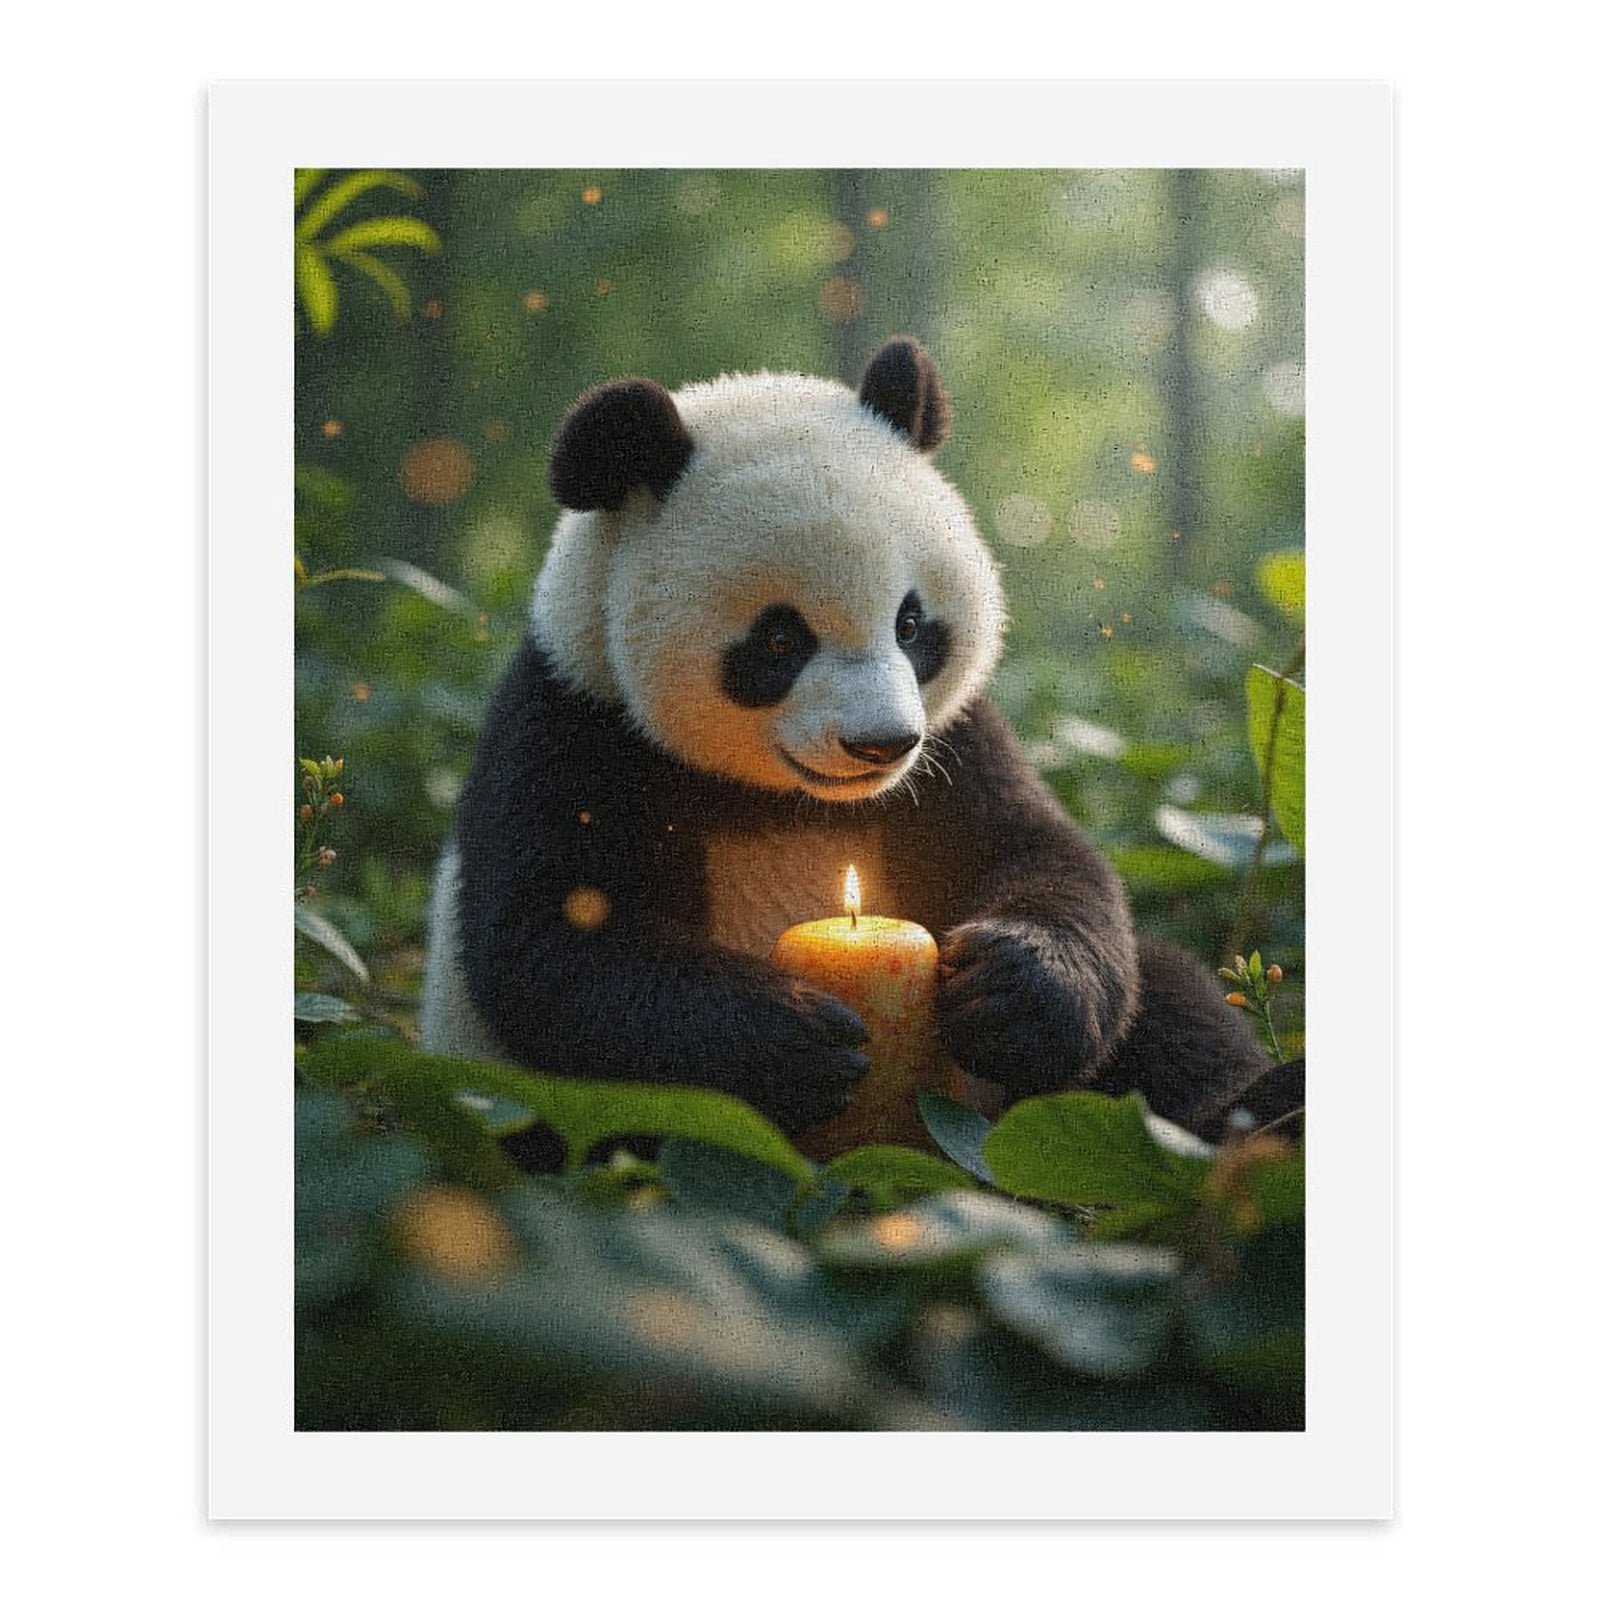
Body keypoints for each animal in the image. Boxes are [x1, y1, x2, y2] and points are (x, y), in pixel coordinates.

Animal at [420, 337, 1276, 1148]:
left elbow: (1038, 852)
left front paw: (1014, 990)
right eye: (778, 641)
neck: (785, 803)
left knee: (1169, 998)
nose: (881, 745)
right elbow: (557, 945)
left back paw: (1258, 1117)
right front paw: (792, 1046)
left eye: (911, 623)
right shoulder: (574, 729)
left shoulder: (957, 744)